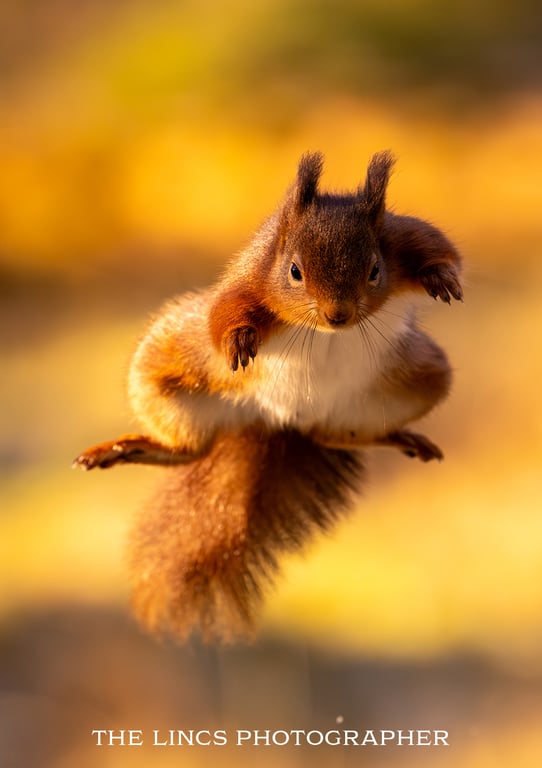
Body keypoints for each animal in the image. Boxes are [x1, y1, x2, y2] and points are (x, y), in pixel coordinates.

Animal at [73, 151, 463, 642]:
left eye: (375, 270)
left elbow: (439, 245)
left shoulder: (401, 237)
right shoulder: (251, 278)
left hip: (418, 378)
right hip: (166, 369)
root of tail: (279, 421)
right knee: (187, 449)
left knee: (332, 434)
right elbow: (226, 313)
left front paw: (441, 276)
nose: (337, 315)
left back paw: (396, 437)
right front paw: (239, 338)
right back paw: (127, 447)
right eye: (294, 271)